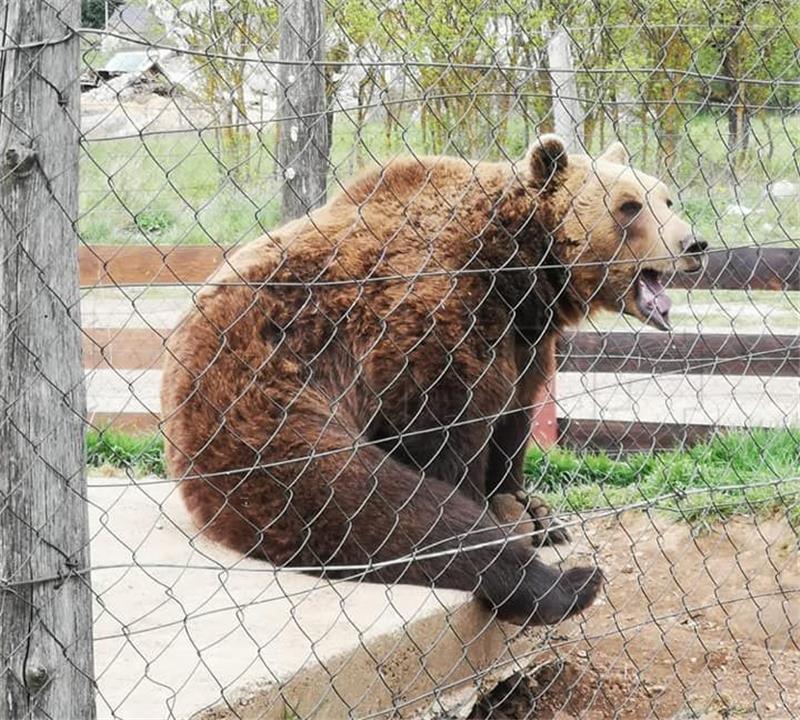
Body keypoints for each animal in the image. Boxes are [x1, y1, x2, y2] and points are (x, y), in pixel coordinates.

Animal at [161, 134, 708, 624]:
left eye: (665, 197)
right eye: (628, 206)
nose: (693, 242)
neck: (521, 270)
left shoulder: (526, 338)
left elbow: (515, 414)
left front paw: (530, 505)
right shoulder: (427, 317)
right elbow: (444, 431)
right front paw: (500, 508)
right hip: (260, 399)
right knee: (373, 502)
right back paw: (567, 584)